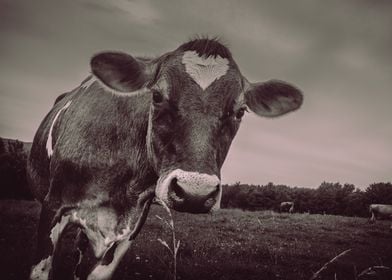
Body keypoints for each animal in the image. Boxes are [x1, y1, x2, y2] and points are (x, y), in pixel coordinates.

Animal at [27, 37, 304, 280]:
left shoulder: (132, 226)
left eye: (240, 111)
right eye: (157, 96)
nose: (195, 193)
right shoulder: (53, 205)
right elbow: (41, 271)